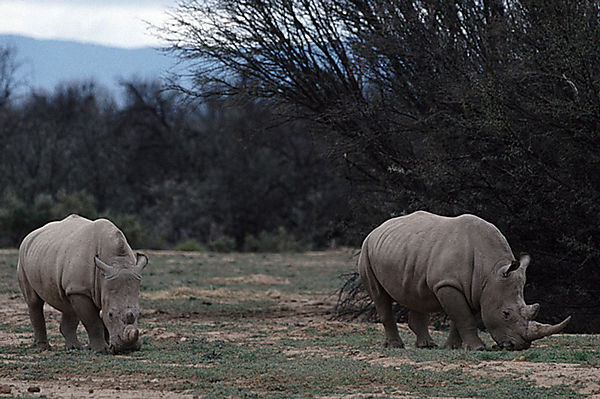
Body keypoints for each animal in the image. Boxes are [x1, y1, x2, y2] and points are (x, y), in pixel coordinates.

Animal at [17, 214, 148, 354]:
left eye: (139, 313)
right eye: (111, 314)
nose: (128, 349)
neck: (118, 261)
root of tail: (30, 235)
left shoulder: (94, 286)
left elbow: (100, 320)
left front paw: (102, 347)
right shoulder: (81, 290)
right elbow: (93, 322)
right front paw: (101, 350)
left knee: (68, 305)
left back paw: (74, 347)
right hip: (23, 256)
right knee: (34, 301)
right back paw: (43, 347)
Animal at [358, 211, 568, 352]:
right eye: (506, 314)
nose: (519, 346)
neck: (491, 270)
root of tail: (377, 229)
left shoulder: (477, 288)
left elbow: (460, 318)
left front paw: (453, 347)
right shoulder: (448, 284)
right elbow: (464, 317)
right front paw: (478, 349)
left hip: (405, 250)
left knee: (415, 295)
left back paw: (427, 346)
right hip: (367, 250)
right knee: (379, 295)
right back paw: (396, 346)